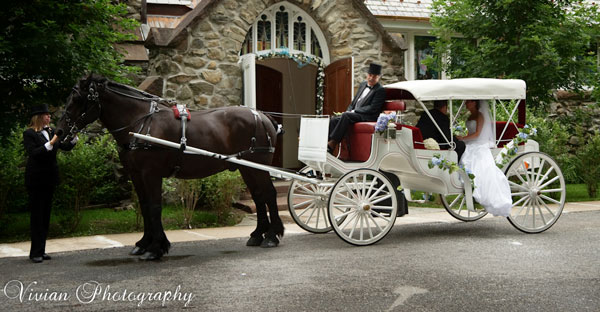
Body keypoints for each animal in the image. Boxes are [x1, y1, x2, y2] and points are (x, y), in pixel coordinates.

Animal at [58, 75, 286, 260]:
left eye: (77, 99)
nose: (59, 132)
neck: (140, 123)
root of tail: (262, 116)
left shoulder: (151, 173)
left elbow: (154, 207)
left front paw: (156, 248)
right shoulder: (136, 174)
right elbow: (144, 206)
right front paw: (143, 244)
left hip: (257, 166)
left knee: (269, 194)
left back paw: (272, 236)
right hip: (246, 168)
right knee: (258, 195)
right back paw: (258, 235)